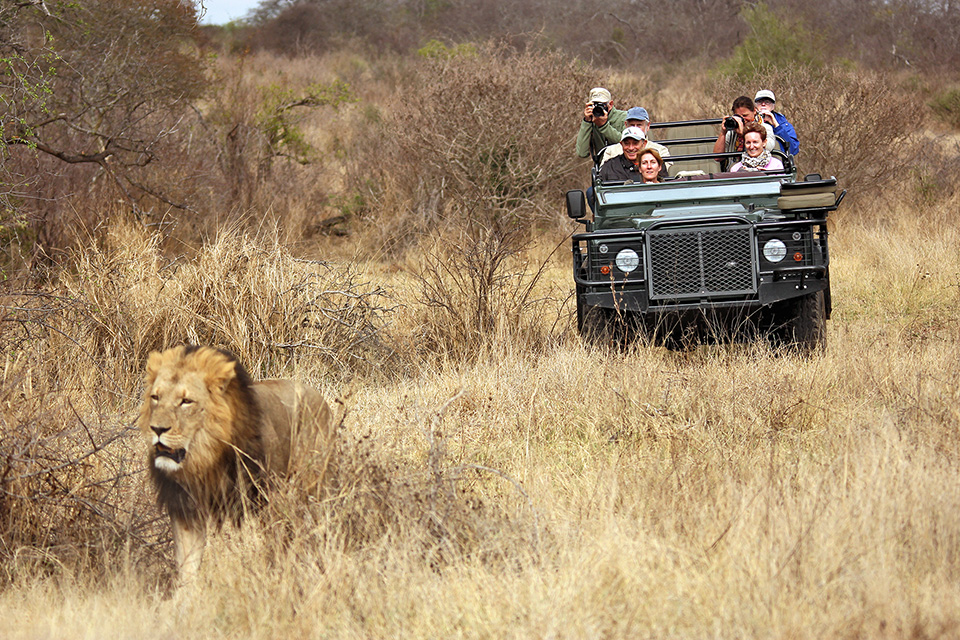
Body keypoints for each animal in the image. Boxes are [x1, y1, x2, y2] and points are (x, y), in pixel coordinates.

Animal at [139, 345, 332, 582]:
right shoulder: (186, 510)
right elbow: (188, 565)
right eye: (155, 397)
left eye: (186, 401)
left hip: (314, 488)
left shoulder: (264, 502)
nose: (156, 429)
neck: (205, 460)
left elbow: (270, 548)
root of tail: (320, 399)